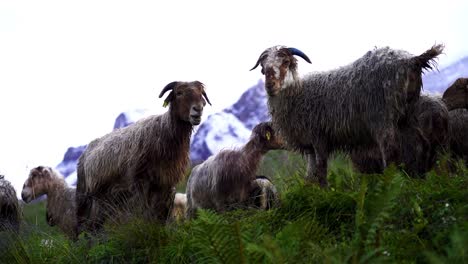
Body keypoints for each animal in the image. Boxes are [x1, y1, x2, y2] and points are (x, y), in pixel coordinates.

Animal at [252, 44, 442, 187]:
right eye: (262, 68)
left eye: (285, 62)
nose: (270, 85)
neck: (298, 93)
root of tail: (411, 60)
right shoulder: (309, 145)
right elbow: (310, 174)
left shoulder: (319, 137)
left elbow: (321, 170)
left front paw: (325, 193)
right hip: (407, 114)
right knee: (419, 144)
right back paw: (419, 178)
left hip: (382, 117)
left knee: (390, 151)